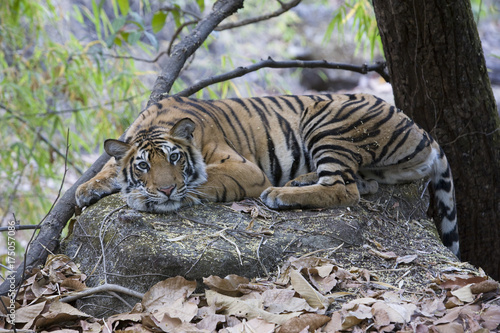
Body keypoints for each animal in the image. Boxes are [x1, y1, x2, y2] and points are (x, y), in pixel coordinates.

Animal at [75, 93, 460, 256]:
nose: (166, 190)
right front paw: (86, 188)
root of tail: (421, 129)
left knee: (342, 188)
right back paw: (298, 180)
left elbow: (202, 183)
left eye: (174, 158)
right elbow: (110, 166)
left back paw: (281, 193)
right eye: (142, 165)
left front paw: (147, 199)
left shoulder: (243, 168)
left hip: (329, 120)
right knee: (363, 183)